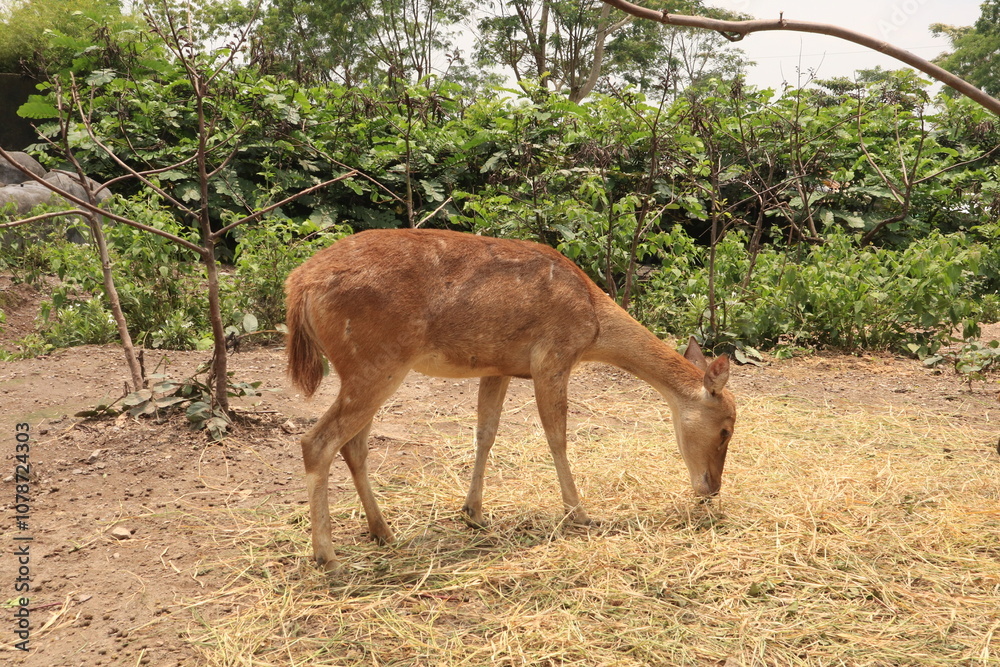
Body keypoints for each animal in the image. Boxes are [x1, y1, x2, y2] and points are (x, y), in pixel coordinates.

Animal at [284, 228, 736, 571]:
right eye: (726, 429)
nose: (711, 488)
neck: (594, 328)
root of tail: (298, 287)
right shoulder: (552, 357)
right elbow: (557, 436)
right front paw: (579, 513)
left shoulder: (497, 365)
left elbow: (486, 431)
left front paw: (474, 513)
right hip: (375, 363)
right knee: (317, 442)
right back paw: (327, 557)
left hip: (369, 370)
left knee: (354, 445)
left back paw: (383, 532)